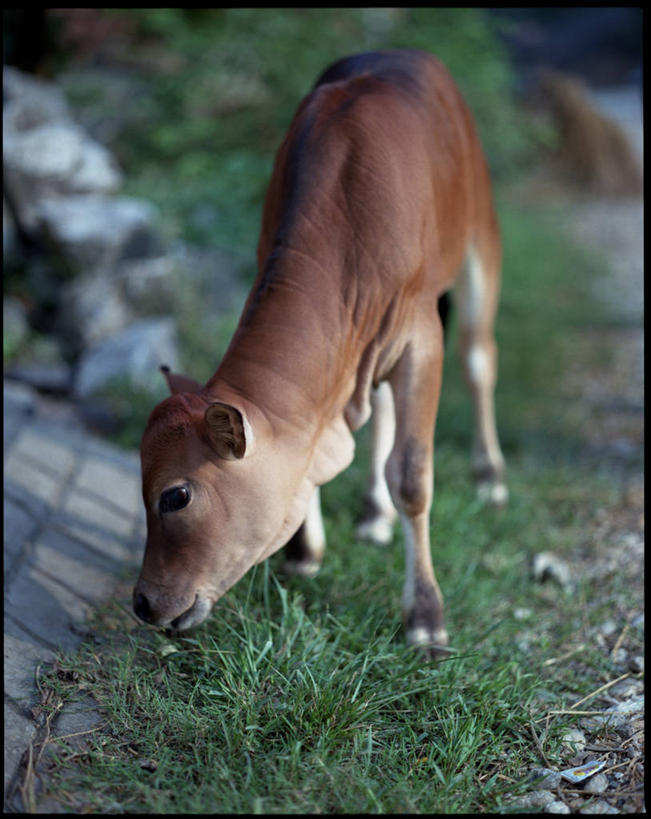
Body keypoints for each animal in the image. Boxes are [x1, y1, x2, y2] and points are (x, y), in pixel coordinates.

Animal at [134, 48, 510, 656]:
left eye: (175, 496)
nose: (143, 602)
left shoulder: (421, 335)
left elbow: (412, 476)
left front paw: (426, 618)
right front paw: (305, 550)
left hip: (481, 238)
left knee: (479, 361)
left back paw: (489, 476)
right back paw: (373, 514)